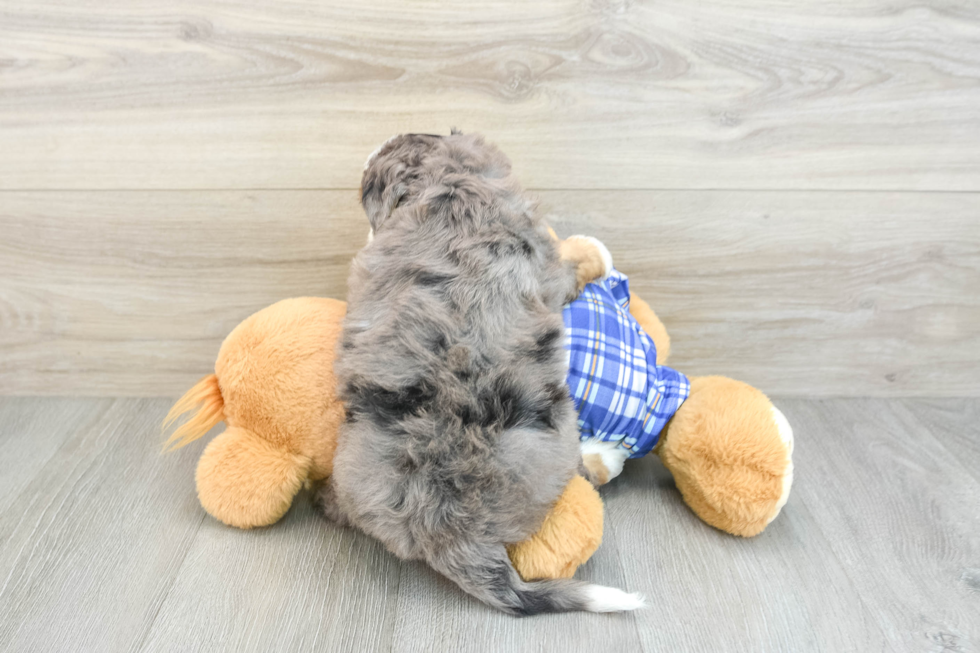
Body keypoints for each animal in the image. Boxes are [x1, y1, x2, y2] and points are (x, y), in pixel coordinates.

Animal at [318, 131, 648, 612]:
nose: (376, 145)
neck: (451, 183)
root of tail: (448, 528)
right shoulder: (550, 266)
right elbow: (574, 264)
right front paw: (595, 251)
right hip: (563, 439)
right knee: (587, 471)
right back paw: (605, 456)